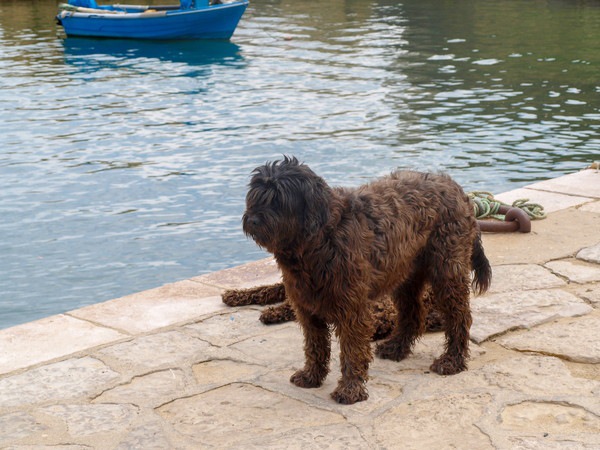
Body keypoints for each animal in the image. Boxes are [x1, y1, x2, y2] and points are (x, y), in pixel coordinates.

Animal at [241, 157, 490, 404]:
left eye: (278, 199)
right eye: (256, 197)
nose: (251, 220)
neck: (319, 240)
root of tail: (458, 190)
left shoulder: (351, 307)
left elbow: (353, 349)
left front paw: (350, 389)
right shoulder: (307, 307)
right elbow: (315, 345)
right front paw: (312, 375)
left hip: (447, 271)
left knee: (459, 317)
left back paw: (452, 360)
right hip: (405, 275)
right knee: (413, 314)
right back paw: (396, 347)